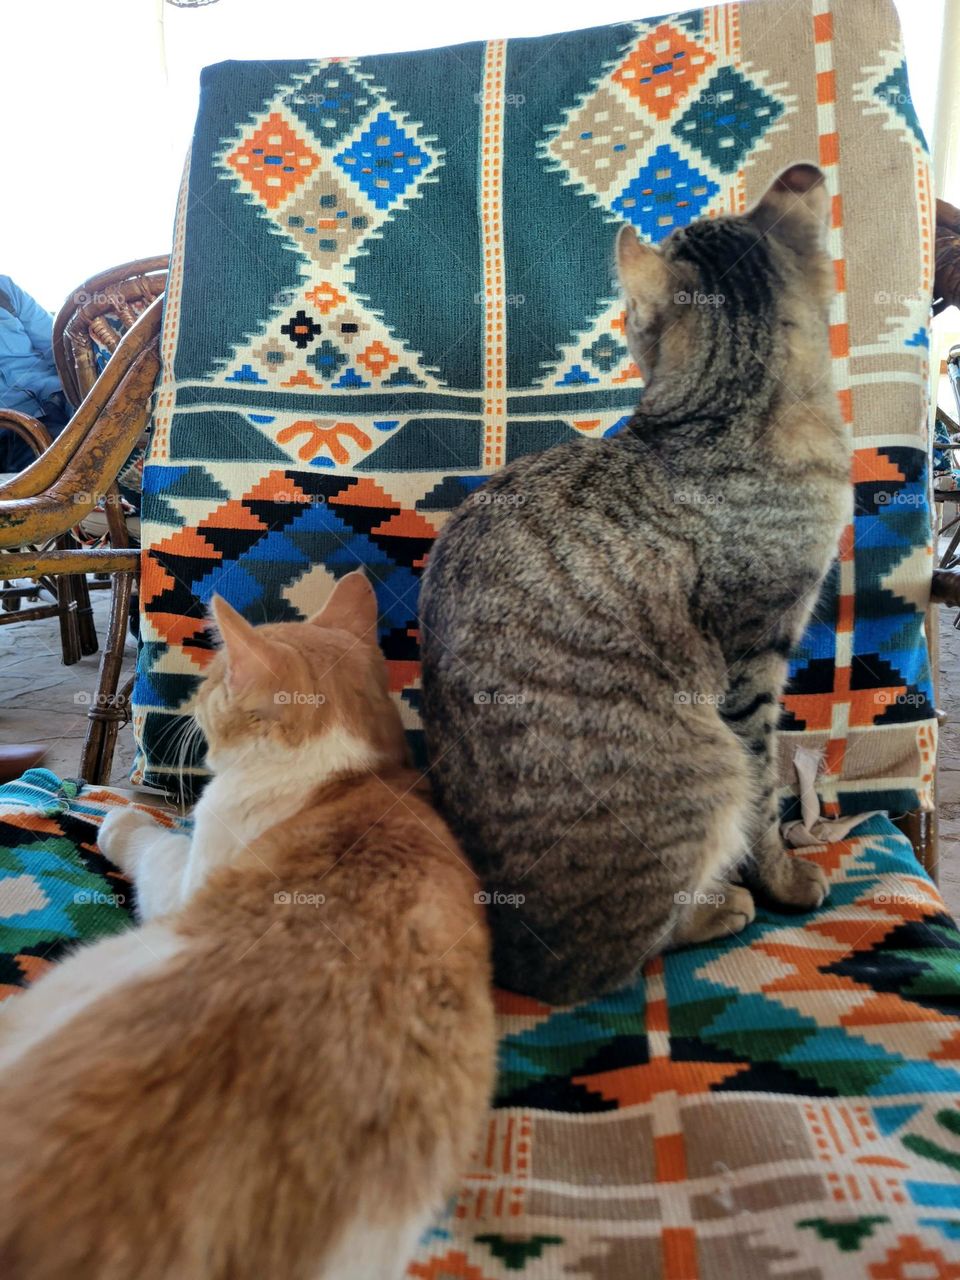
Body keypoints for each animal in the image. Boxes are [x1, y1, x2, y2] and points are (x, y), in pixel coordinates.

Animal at [0, 576, 496, 1280]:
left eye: (213, 681)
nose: (191, 700)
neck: (347, 771)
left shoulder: (187, 872)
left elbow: (151, 839)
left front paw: (118, 821)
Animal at [419, 160, 849, 1003]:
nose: (621, 324)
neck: (725, 416)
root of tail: (514, 963)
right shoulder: (755, 662)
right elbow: (765, 793)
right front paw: (784, 877)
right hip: (703, 767)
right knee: (631, 950)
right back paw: (722, 907)